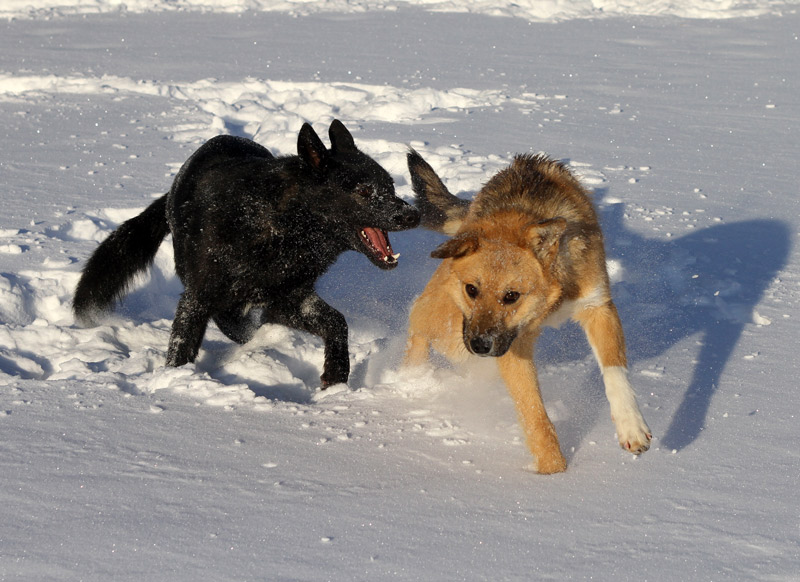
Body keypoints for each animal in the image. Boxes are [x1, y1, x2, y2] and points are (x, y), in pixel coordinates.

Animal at [75, 120, 422, 388]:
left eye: (391, 186)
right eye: (363, 191)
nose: (412, 215)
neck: (280, 226)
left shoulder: (292, 298)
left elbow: (337, 323)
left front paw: (335, 377)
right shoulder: (198, 300)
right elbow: (184, 346)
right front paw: (176, 380)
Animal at [406, 153, 648, 476]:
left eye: (511, 296)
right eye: (471, 289)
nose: (480, 345)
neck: (553, 297)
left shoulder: (598, 306)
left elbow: (615, 372)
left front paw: (631, 426)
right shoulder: (511, 343)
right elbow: (534, 411)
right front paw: (553, 472)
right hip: (451, 328)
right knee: (417, 319)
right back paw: (408, 379)